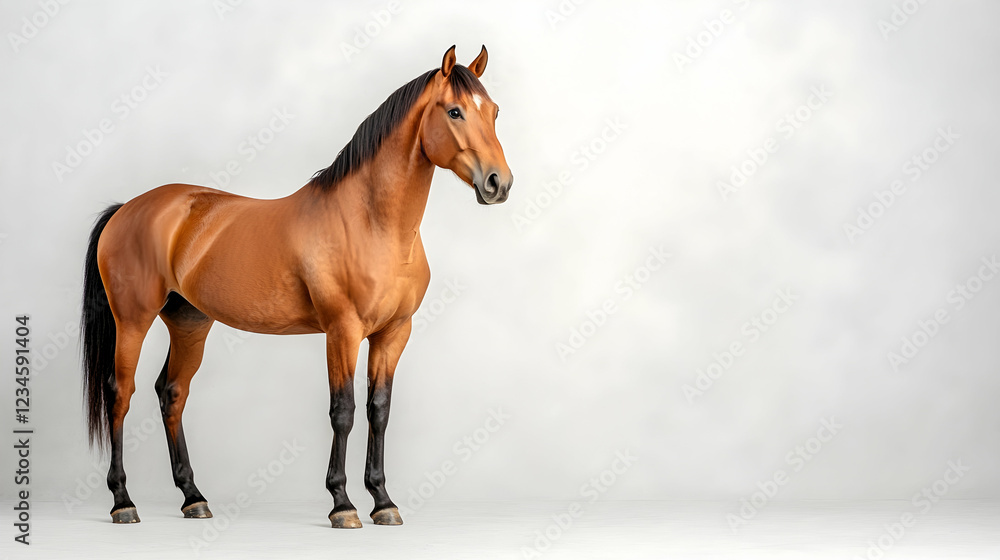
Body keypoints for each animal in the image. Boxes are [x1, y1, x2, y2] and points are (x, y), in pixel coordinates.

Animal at [80, 45, 512, 528]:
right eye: (454, 111)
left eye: (494, 111)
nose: (498, 183)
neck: (370, 222)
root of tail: (126, 208)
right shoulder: (342, 331)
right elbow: (343, 411)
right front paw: (342, 504)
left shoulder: (394, 333)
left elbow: (379, 411)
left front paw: (383, 501)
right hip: (133, 321)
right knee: (120, 394)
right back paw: (123, 501)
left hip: (190, 323)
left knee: (171, 393)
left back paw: (194, 498)